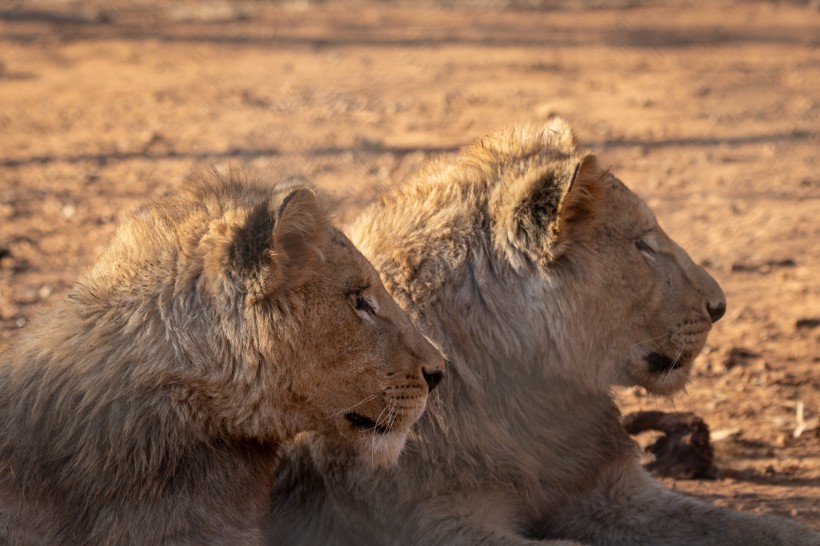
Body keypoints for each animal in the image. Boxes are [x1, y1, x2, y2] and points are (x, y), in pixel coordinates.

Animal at [266, 120, 816, 544]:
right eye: (642, 244)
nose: (720, 307)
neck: (527, 394)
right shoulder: (430, 521)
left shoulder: (609, 490)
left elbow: (761, 527)